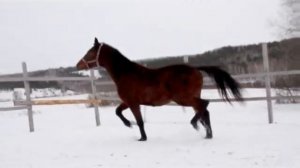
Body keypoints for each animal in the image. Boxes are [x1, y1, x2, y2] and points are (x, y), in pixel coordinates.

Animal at [76, 37, 243, 140]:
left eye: (90, 52)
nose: (77, 65)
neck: (126, 73)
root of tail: (195, 69)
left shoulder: (133, 103)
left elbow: (140, 121)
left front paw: (142, 137)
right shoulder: (128, 102)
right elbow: (118, 111)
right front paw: (129, 124)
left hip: (183, 98)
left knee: (205, 104)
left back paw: (195, 125)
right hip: (190, 97)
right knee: (204, 111)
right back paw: (208, 134)